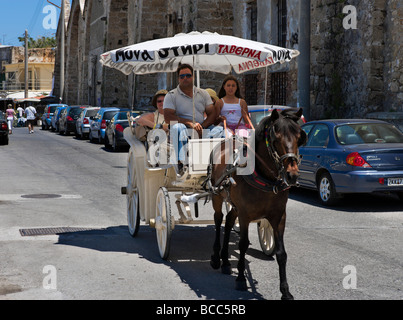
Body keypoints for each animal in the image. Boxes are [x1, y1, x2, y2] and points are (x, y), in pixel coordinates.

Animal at [208, 108, 306, 300]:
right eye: (276, 139)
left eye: (300, 137)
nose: (292, 175)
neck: (265, 178)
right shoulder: (245, 215)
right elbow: (243, 244)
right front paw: (240, 279)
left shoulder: (279, 216)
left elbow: (281, 253)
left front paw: (285, 290)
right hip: (217, 194)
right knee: (218, 219)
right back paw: (216, 257)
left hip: (235, 205)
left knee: (228, 221)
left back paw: (225, 261)